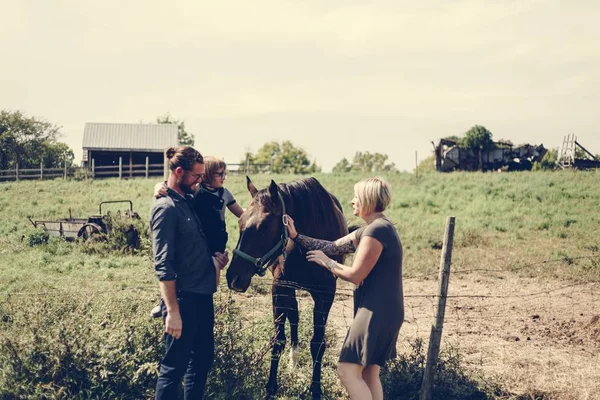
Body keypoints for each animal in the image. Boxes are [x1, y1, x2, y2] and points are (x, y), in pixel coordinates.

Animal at [225, 177, 346, 400]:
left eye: (263, 227)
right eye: (240, 222)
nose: (233, 277)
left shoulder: (325, 294)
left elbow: (318, 344)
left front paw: (316, 389)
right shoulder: (280, 287)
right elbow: (278, 340)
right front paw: (271, 388)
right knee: (294, 317)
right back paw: (293, 360)